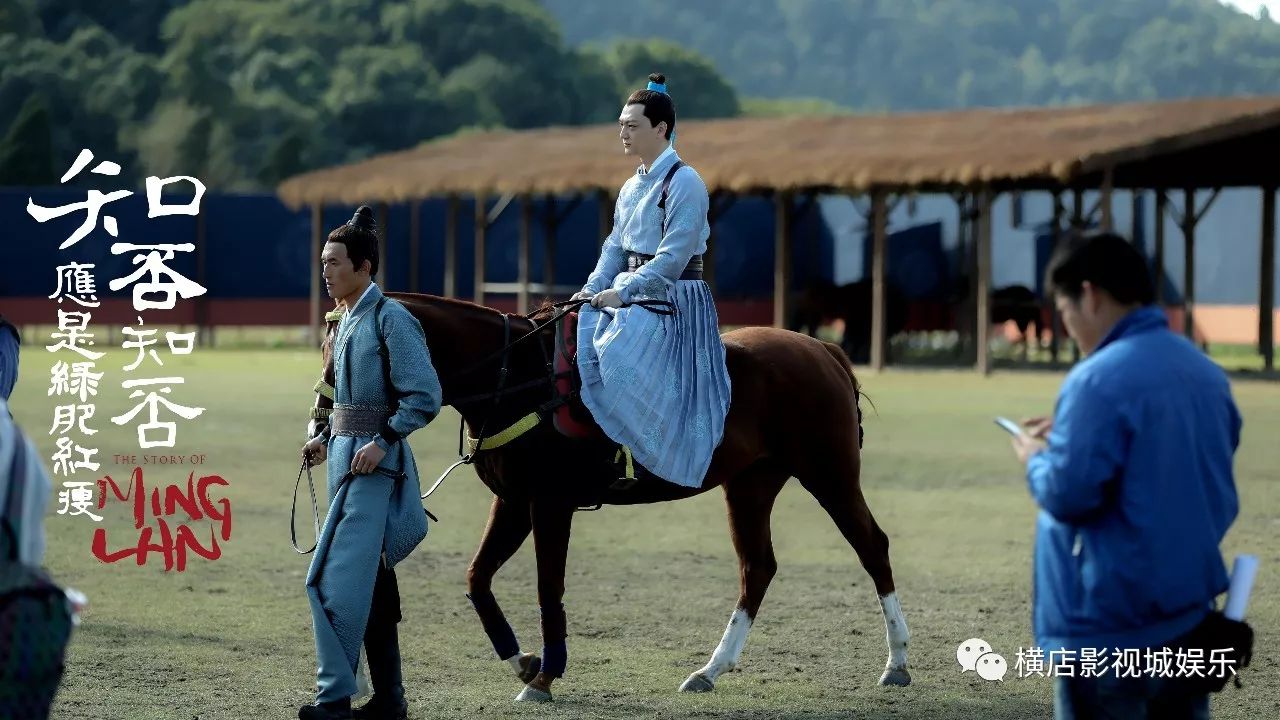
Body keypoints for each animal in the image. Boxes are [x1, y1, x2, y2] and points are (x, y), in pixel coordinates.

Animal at [308, 288, 911, 696]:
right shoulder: (514, 501)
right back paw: (710, 669)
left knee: (871, 546)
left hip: (829, 473)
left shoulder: (550, 503)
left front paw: (544, 677)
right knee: (757, 567)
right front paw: (524, 661)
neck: (513, 375)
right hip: (751, 483)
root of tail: (822, 350)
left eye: (347, 353)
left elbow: (548, 587)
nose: (321, 426)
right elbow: (478, 578)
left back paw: (897, 662)